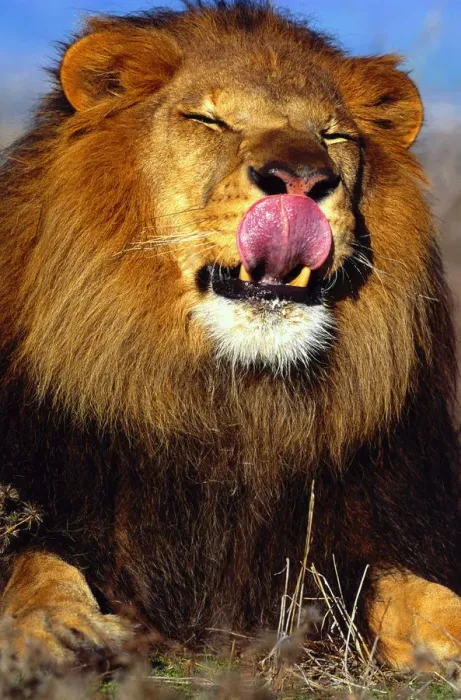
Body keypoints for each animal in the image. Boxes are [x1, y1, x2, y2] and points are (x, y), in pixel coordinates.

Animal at [0, 0, 461, 671]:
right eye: (208, 120)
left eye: (334, 136)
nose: (302, 179)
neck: (233, 400)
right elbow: (32, 559)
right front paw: (56, 629)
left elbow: (424, 593)